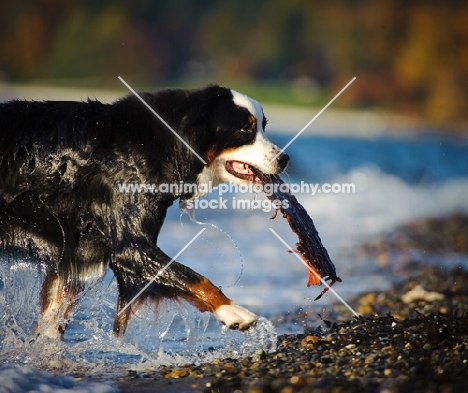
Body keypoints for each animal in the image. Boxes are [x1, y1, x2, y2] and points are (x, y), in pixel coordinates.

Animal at [0, 84, 288, 338]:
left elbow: (51, 325)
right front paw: (233, 311)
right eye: (244, 128)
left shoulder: (74, 255)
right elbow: (193, 277)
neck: (163, 144)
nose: (285, 159)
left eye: (262, 126)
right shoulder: (131, 246)